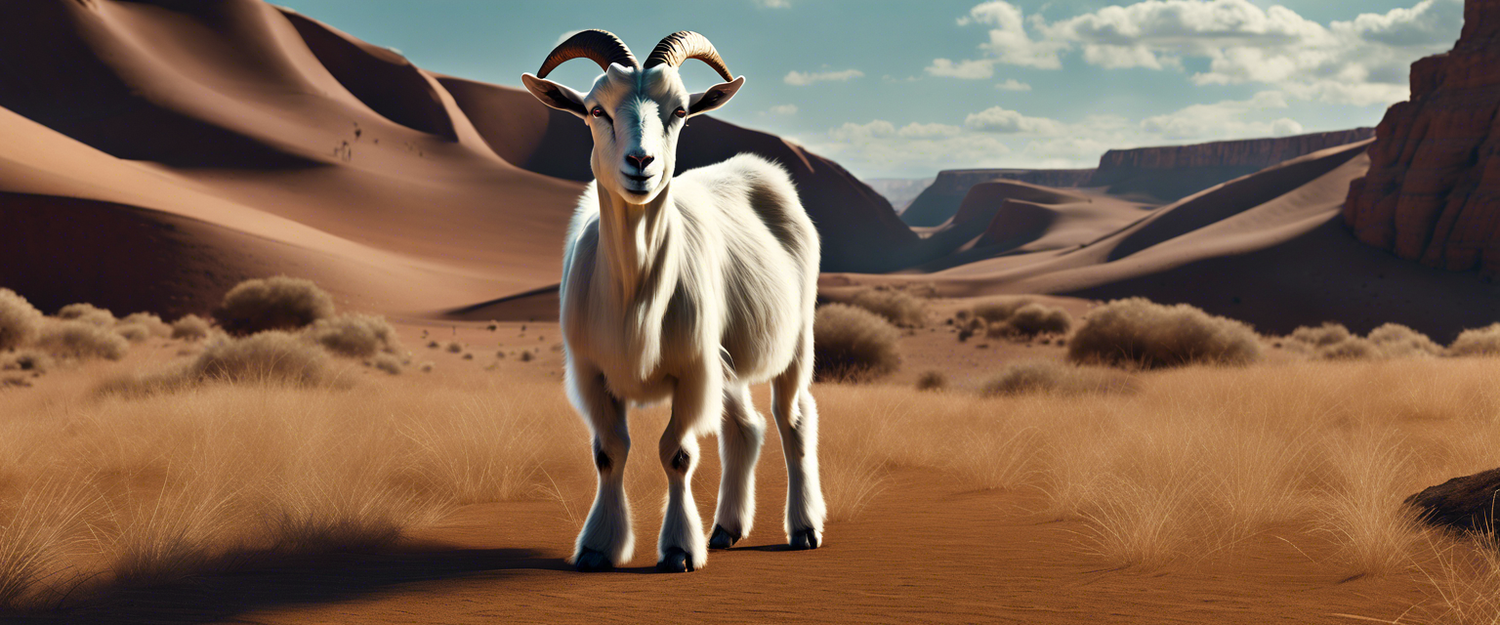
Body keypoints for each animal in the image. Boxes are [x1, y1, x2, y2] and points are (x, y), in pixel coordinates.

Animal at [522, 30, 825, 573]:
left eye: (680, 110)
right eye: (596, 110)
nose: (641, 164)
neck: (635, 290)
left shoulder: (691, 370)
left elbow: (676, 454)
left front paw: (681, 548)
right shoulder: (593, 373)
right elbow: (609, 452)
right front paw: (598, 545)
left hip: (793, 342)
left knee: (792, 421)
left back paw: (804, 526)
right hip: (725, 361)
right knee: (745, 428)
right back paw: (726, 528)